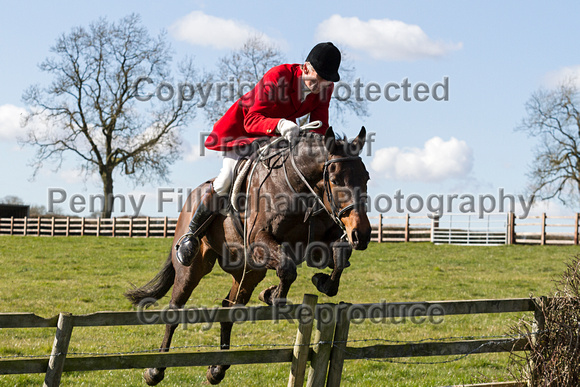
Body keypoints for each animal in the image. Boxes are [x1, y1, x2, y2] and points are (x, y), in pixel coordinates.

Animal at [125, 127, 374, 384]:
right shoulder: (259, 241)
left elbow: (339, 257)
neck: (298, 187)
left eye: (366, 178)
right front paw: (272, 296)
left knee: (230, 308)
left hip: (248, 272)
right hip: (192, 268)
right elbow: (287, 268)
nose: (362, 234)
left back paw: (217, 368)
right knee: (175, 309)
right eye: (335, 181)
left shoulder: (318, 243)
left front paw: (321, 282)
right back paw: (155, 370)